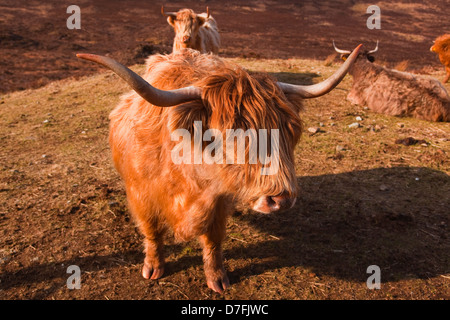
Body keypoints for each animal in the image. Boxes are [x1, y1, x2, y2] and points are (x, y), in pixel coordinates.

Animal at [75, 44, 360, 292]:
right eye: (230, 133)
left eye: (290, 131)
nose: (280, 199)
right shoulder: (141, 195)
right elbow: (152, 232)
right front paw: (153, 267)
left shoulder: (219, 201)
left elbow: (213, 239)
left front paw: (217, 278)